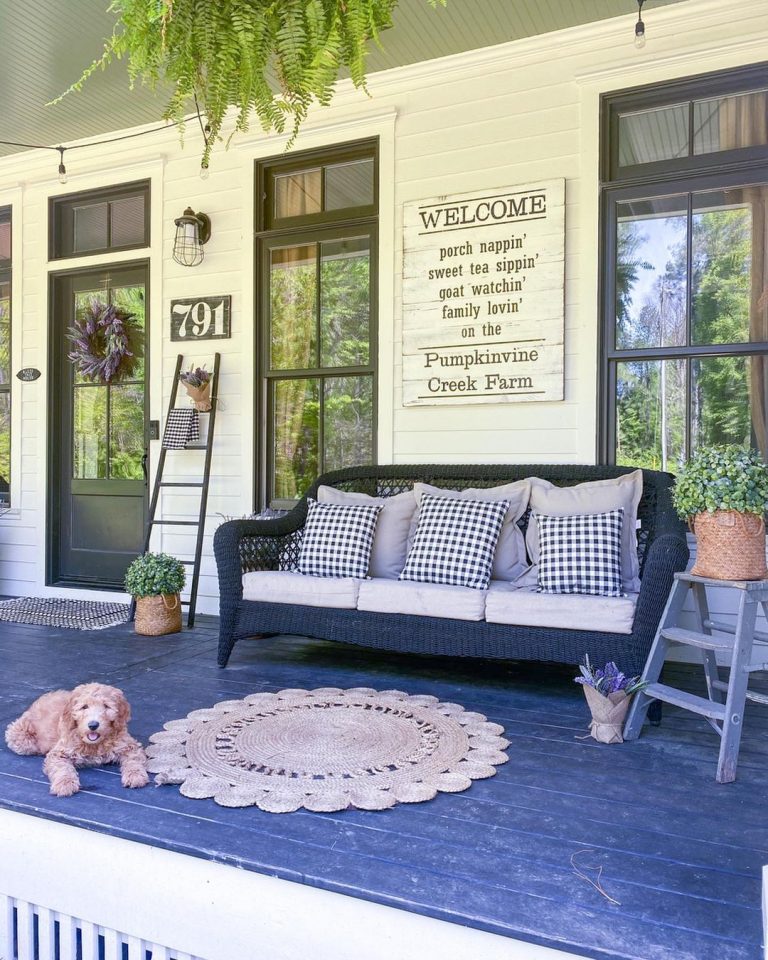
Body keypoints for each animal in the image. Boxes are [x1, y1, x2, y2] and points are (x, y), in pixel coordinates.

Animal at [4, 688, 148, 800]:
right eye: (84, 707)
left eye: (106, 706)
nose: (93, 725)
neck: (94, 744)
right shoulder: (59, 752)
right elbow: (62, 768)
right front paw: (64, 784)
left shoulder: (129, 745)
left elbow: (133, 760)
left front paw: (135, 776)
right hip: (20, 736)